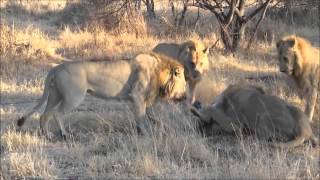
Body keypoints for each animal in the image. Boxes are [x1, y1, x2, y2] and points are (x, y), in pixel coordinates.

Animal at [16, 52, 188, 139]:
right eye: (185, 84)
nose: (185, 97)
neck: (160, 73)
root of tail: (56, 68)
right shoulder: (137, 97)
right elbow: (141, 118)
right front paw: (144, 134)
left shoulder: (147, 100)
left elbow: (153, 117)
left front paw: (162, 129)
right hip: (74, 97)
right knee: (58, 113)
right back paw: (64, 134)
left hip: (54, 95)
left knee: (44, 115)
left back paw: (46, 135)